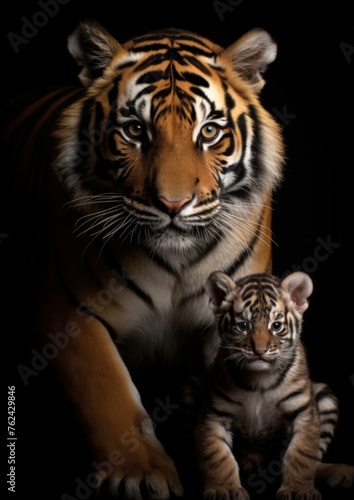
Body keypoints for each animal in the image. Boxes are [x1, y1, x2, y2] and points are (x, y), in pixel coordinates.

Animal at [0, 20, 282, 500]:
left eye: (209, 132)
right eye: (134, 130)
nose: (172, 204)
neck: (177, 260)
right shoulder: (69, 313)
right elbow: (108, 394)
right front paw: (142, 474)